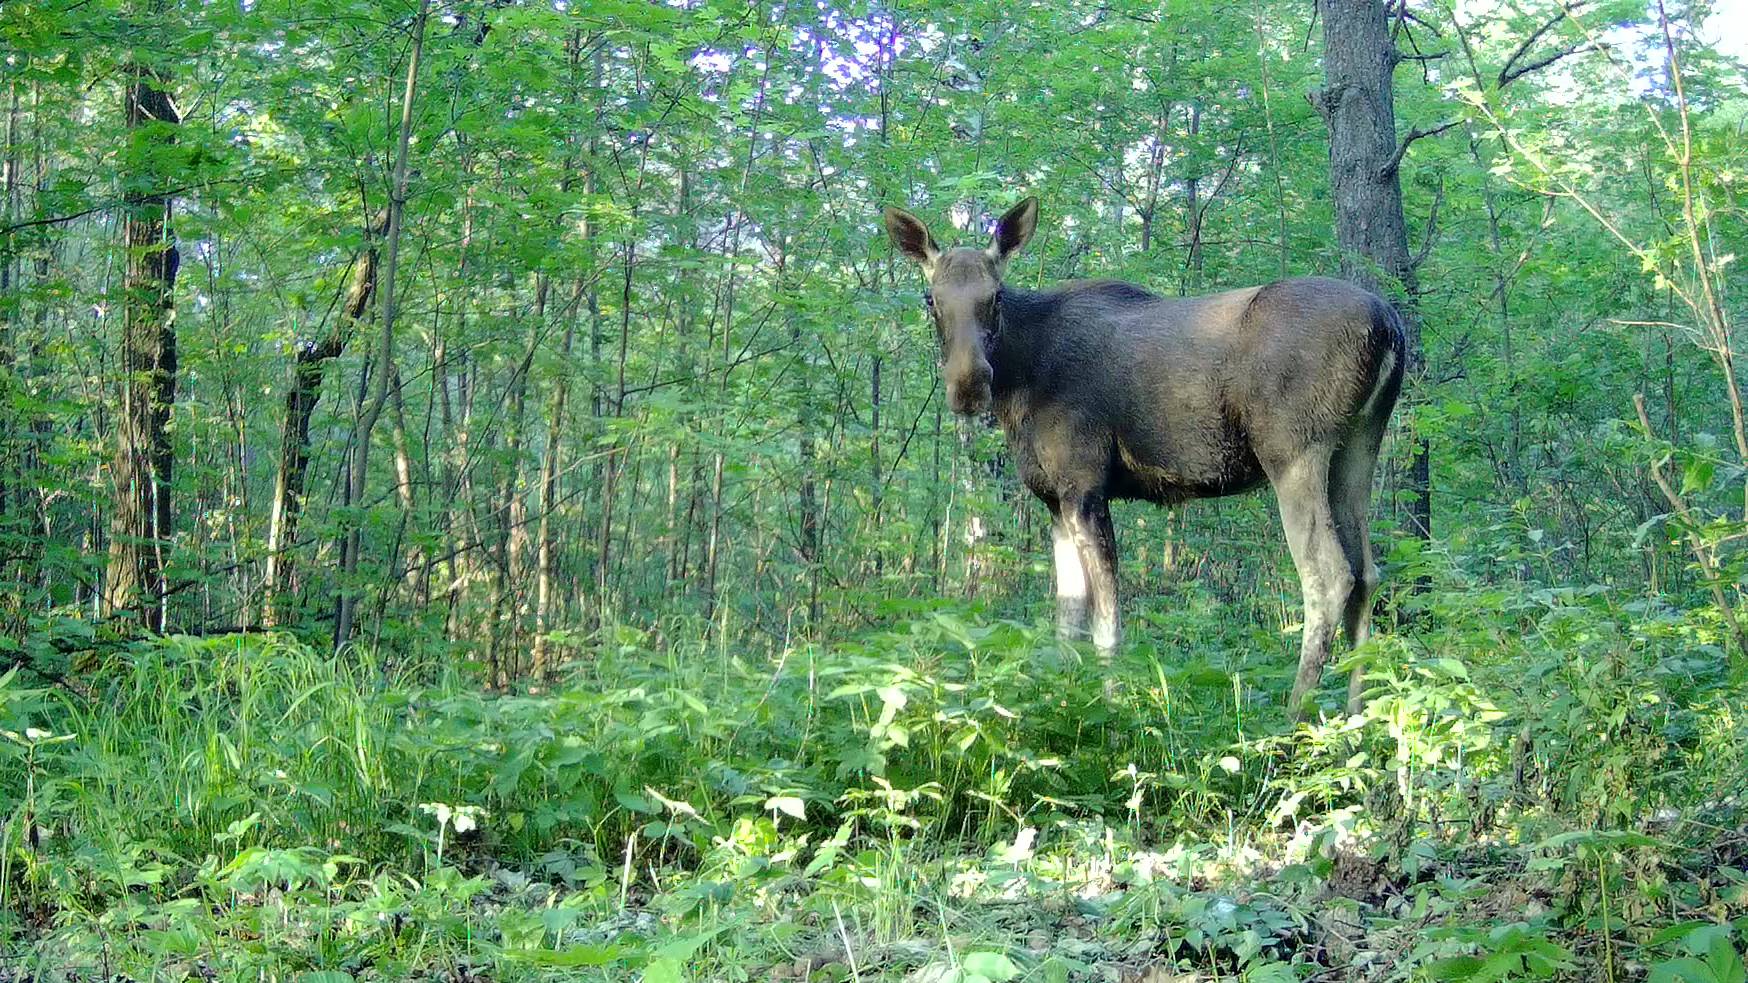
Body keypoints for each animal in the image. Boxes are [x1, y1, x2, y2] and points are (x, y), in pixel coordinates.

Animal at [887, 195, 1405, 717]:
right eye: (931, 299)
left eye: (995, 296)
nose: (968, 385)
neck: (1019, 385)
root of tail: (1389, 325)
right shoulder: (1054, 500)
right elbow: (1066, 623)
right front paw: (1064, 700)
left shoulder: (1086, 485)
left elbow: (1106, 625)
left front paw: (1112, 705)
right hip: (1358, 448)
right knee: (1367, 573)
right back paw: (1356, 716)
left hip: (1294, 452)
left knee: (1329, 575)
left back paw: (1293, 716)